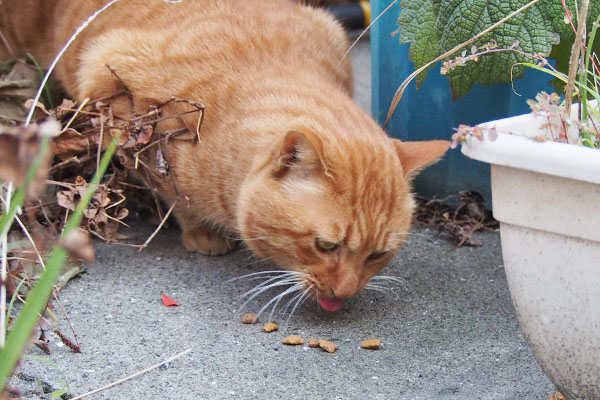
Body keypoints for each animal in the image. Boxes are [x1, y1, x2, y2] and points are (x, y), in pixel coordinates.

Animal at [1, 0, 450, 310]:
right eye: (325, 246)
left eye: (378, 255)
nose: (345, 292)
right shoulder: (116, 105)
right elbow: (170, 190)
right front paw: (199, 229)